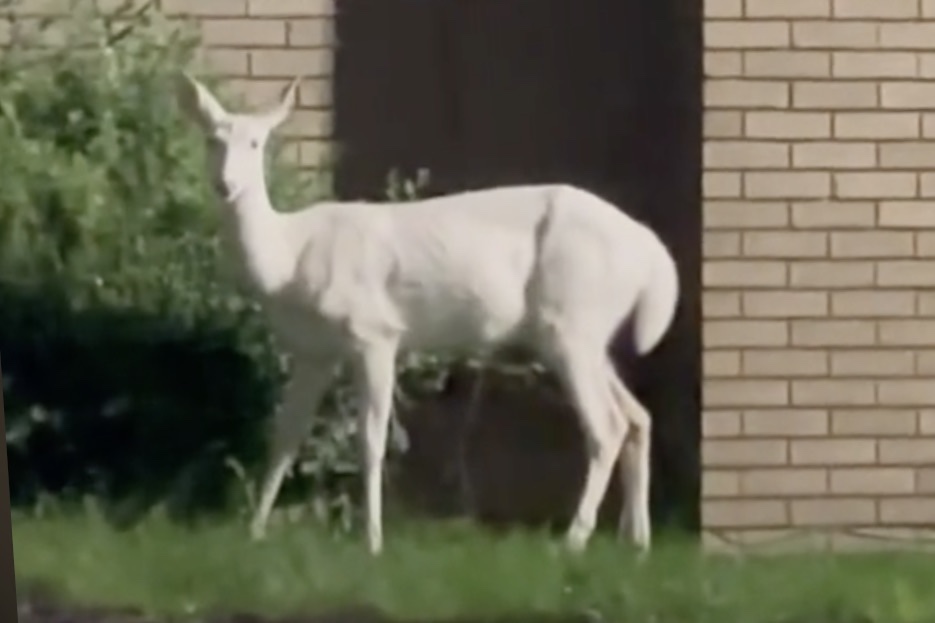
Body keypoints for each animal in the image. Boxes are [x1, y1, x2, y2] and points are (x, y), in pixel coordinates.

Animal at [174, 72, 680, 556]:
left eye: (256, 143)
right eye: (212, 139)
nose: (225, 185)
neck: (290, 260)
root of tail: (653, 255)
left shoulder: (375, 333)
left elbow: (371, 440)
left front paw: (372, 541)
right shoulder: (314, 351)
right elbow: (286, 435)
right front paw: (254, 531)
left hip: (572, 322)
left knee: (607, 426)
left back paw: (574, 541)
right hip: (582, 333)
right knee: (637, 416)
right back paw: (637, 541)